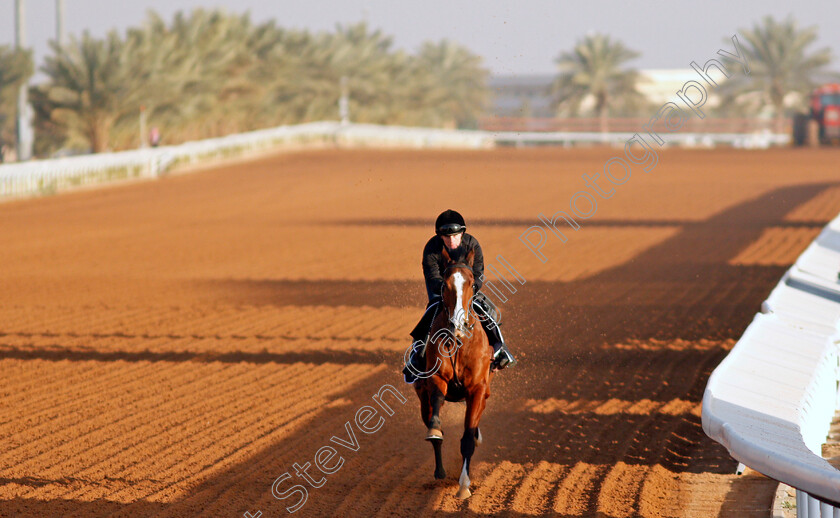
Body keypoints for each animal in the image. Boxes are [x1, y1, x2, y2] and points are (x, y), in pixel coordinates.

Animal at [414, 248, 492, 500]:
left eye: (472, 283)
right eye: (444, 284)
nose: (458, 324)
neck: (458, 342)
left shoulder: (477, 389)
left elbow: (467, 437)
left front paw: (464, 485)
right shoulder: (436, 378)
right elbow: (437, 402)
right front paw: (435, 429)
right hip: (422, 399)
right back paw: (439, 471)